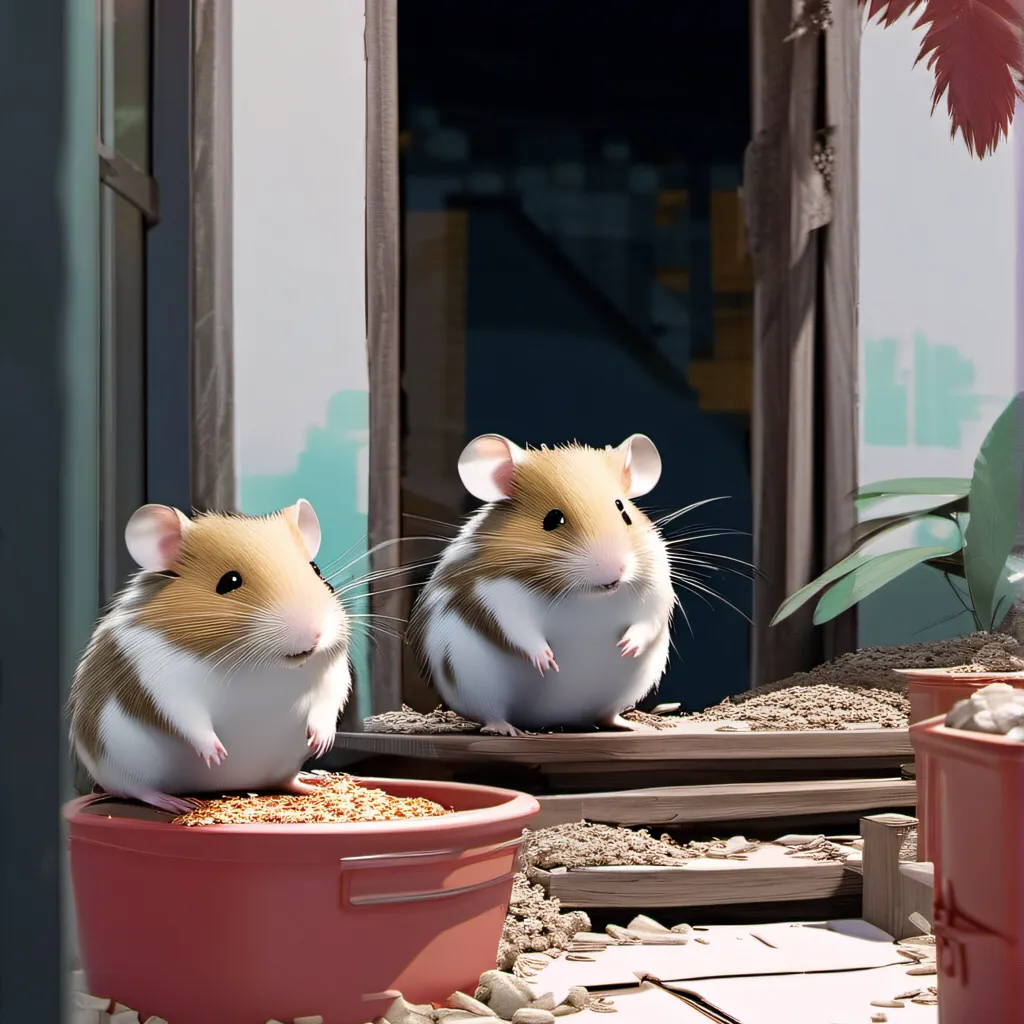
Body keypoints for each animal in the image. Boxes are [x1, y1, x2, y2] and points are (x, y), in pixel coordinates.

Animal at [68, 500, 352, 814]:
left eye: (316, 570)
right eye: (229, 581)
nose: (313, 637)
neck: (263, 666)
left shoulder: (334, 671)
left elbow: (328, 702)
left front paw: (321, 742)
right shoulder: (162, 678)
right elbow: (190, 719)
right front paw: (218, 755)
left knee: (285, 781)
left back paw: (313, 785)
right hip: (120, 767)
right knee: (135, 790)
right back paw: (177, 803)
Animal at [407, 434, 675, 735]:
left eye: (623, 511)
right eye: (552, 519)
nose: (614, 573)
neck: (586, 596)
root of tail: (553, 718)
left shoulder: (657, 579)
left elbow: (650, 618)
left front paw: (628, 646)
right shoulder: (496, 593)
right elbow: (519, 630)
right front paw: (547, 661)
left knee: (607, 715)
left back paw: (634, 726)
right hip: (472, 681)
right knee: (490, 713)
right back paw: (505, 728)